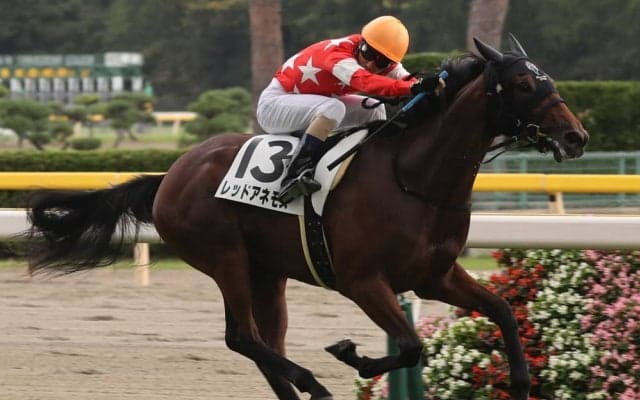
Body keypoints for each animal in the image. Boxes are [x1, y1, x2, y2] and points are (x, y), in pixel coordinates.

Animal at [22, 36, 588, 400]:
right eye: (521, 83)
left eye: (548, 79)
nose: (575, 136)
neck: (416, 178)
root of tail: (170, 174)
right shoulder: (363, 280)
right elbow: (409, 347)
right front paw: (350, 355)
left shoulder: (435, 275)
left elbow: (503, 311)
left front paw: (520, 382)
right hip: (224, 258)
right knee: (243, 339)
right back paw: (313, 384)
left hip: (266, 272)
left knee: (263, 346)